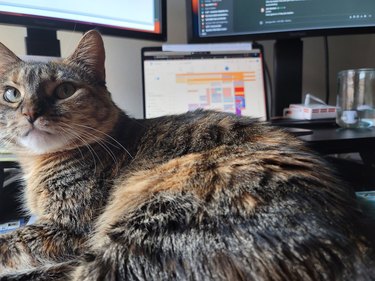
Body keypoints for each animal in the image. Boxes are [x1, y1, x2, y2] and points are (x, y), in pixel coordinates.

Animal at [0, 29, 374, 278]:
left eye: (65, 90)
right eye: (11, 94)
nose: (30, 113)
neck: (36, 164)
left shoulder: (67, 228)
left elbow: (10, 241)